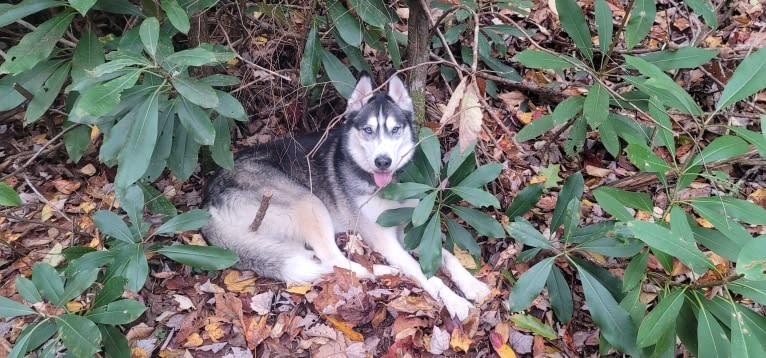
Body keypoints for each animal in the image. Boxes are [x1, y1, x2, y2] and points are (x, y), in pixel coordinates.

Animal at [204, 75, 492, 318]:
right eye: (368, 130)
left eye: (395, 129)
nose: (383, 161)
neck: (389, 188)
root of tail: (207, 201)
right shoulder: (387, 240)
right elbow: (425, 273)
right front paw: (456, 302)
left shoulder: (414, 231)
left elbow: (448, 256)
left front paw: (473, 285)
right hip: (307, 202)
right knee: (333, 261)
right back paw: (382, 271)